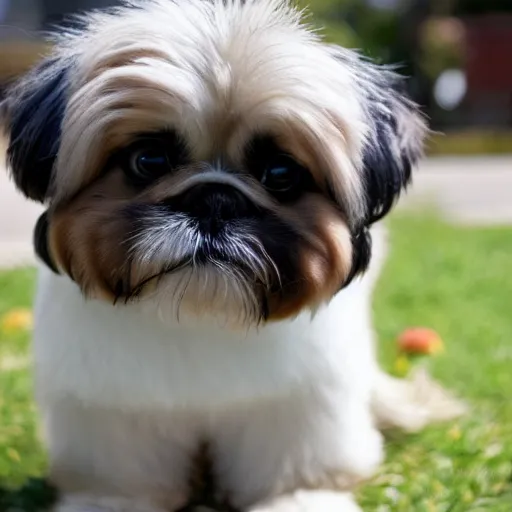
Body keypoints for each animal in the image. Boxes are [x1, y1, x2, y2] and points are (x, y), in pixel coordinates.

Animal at [0, 2, 464, 510]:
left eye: (280, 173)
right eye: (148, 160)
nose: (214, 199)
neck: (203, 311)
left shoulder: (296, 409)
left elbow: (296, 469)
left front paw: (302, 499)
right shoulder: (114, 413)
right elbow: (122, 478)